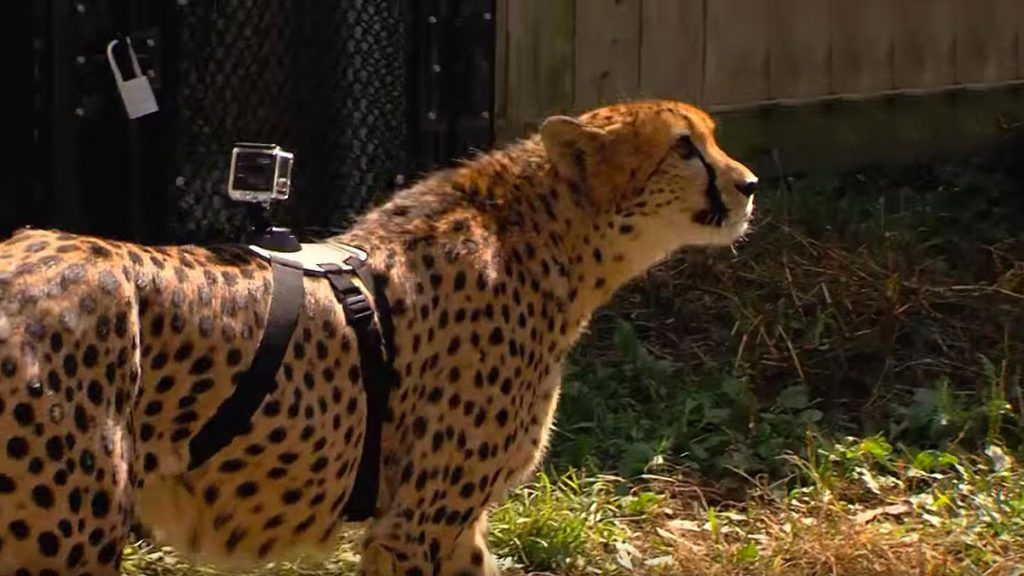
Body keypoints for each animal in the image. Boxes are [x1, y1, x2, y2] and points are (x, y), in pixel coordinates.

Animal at [0, 99, 757, 576]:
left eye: (711, 137)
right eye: (684, 148)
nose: (749, 184)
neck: (547, 238)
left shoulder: (450, 528)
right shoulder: (418, 523)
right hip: (69, 540)